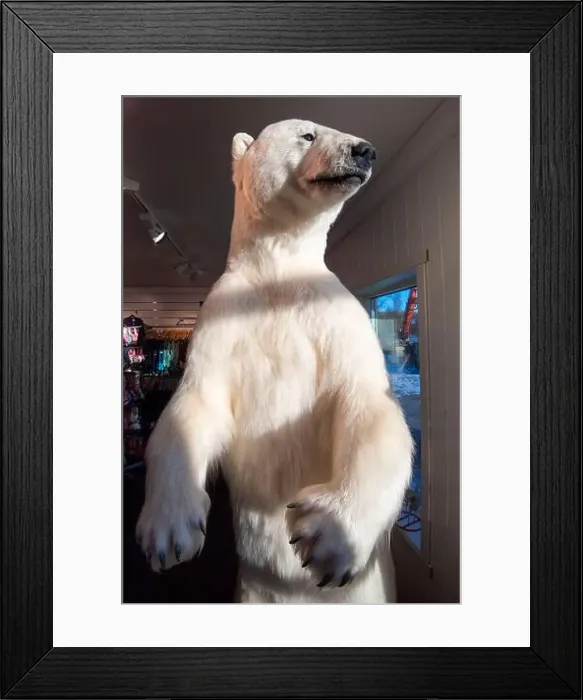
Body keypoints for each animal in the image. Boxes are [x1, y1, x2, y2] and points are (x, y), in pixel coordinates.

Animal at [136, 119, 414, 603]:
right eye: (309, 134)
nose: (365, 151)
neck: (277, 273)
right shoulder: (222, 320)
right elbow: (196, 401)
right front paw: (167, 533)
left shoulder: (334, 318)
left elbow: (367, 403)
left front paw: (326, 531)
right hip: (253, 590)